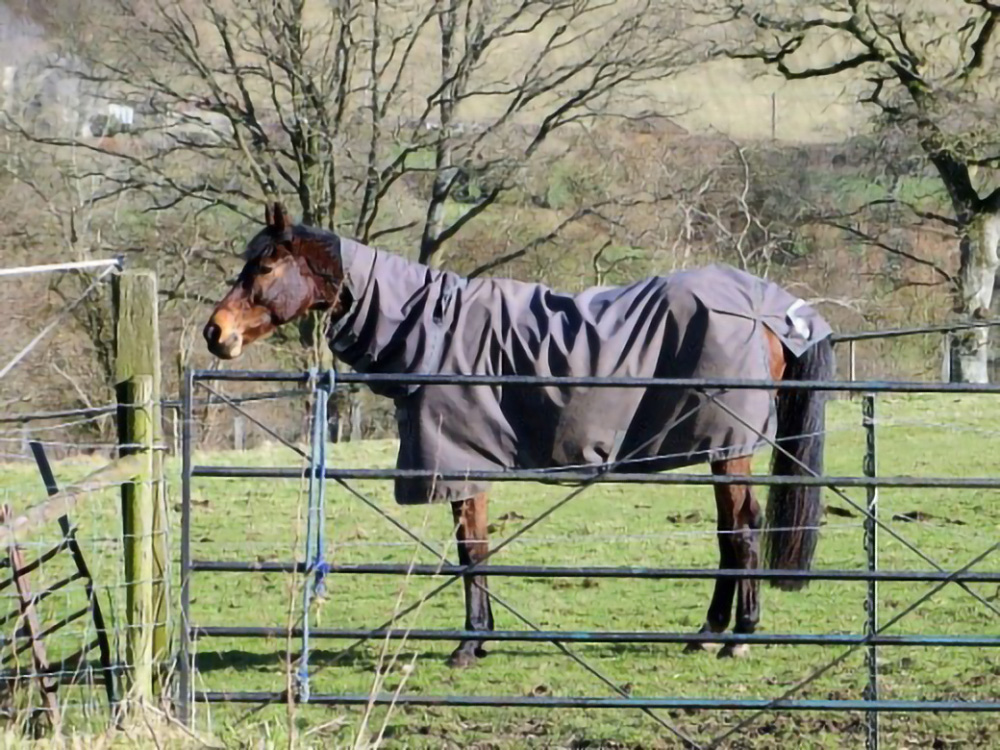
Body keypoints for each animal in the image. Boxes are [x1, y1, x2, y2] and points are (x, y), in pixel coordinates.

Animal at [204, 202, 834, 666]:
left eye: (264, 268)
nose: (216, 333)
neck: (432, 329)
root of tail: (772, 308)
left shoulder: (461, 466)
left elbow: (472, 553)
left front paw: (469, 644)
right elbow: (473, 552)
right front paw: (480, 639)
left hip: (730, 449)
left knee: (742, 532)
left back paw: (737, 638)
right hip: (722, 449)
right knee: (732, 531)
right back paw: (709, 632)